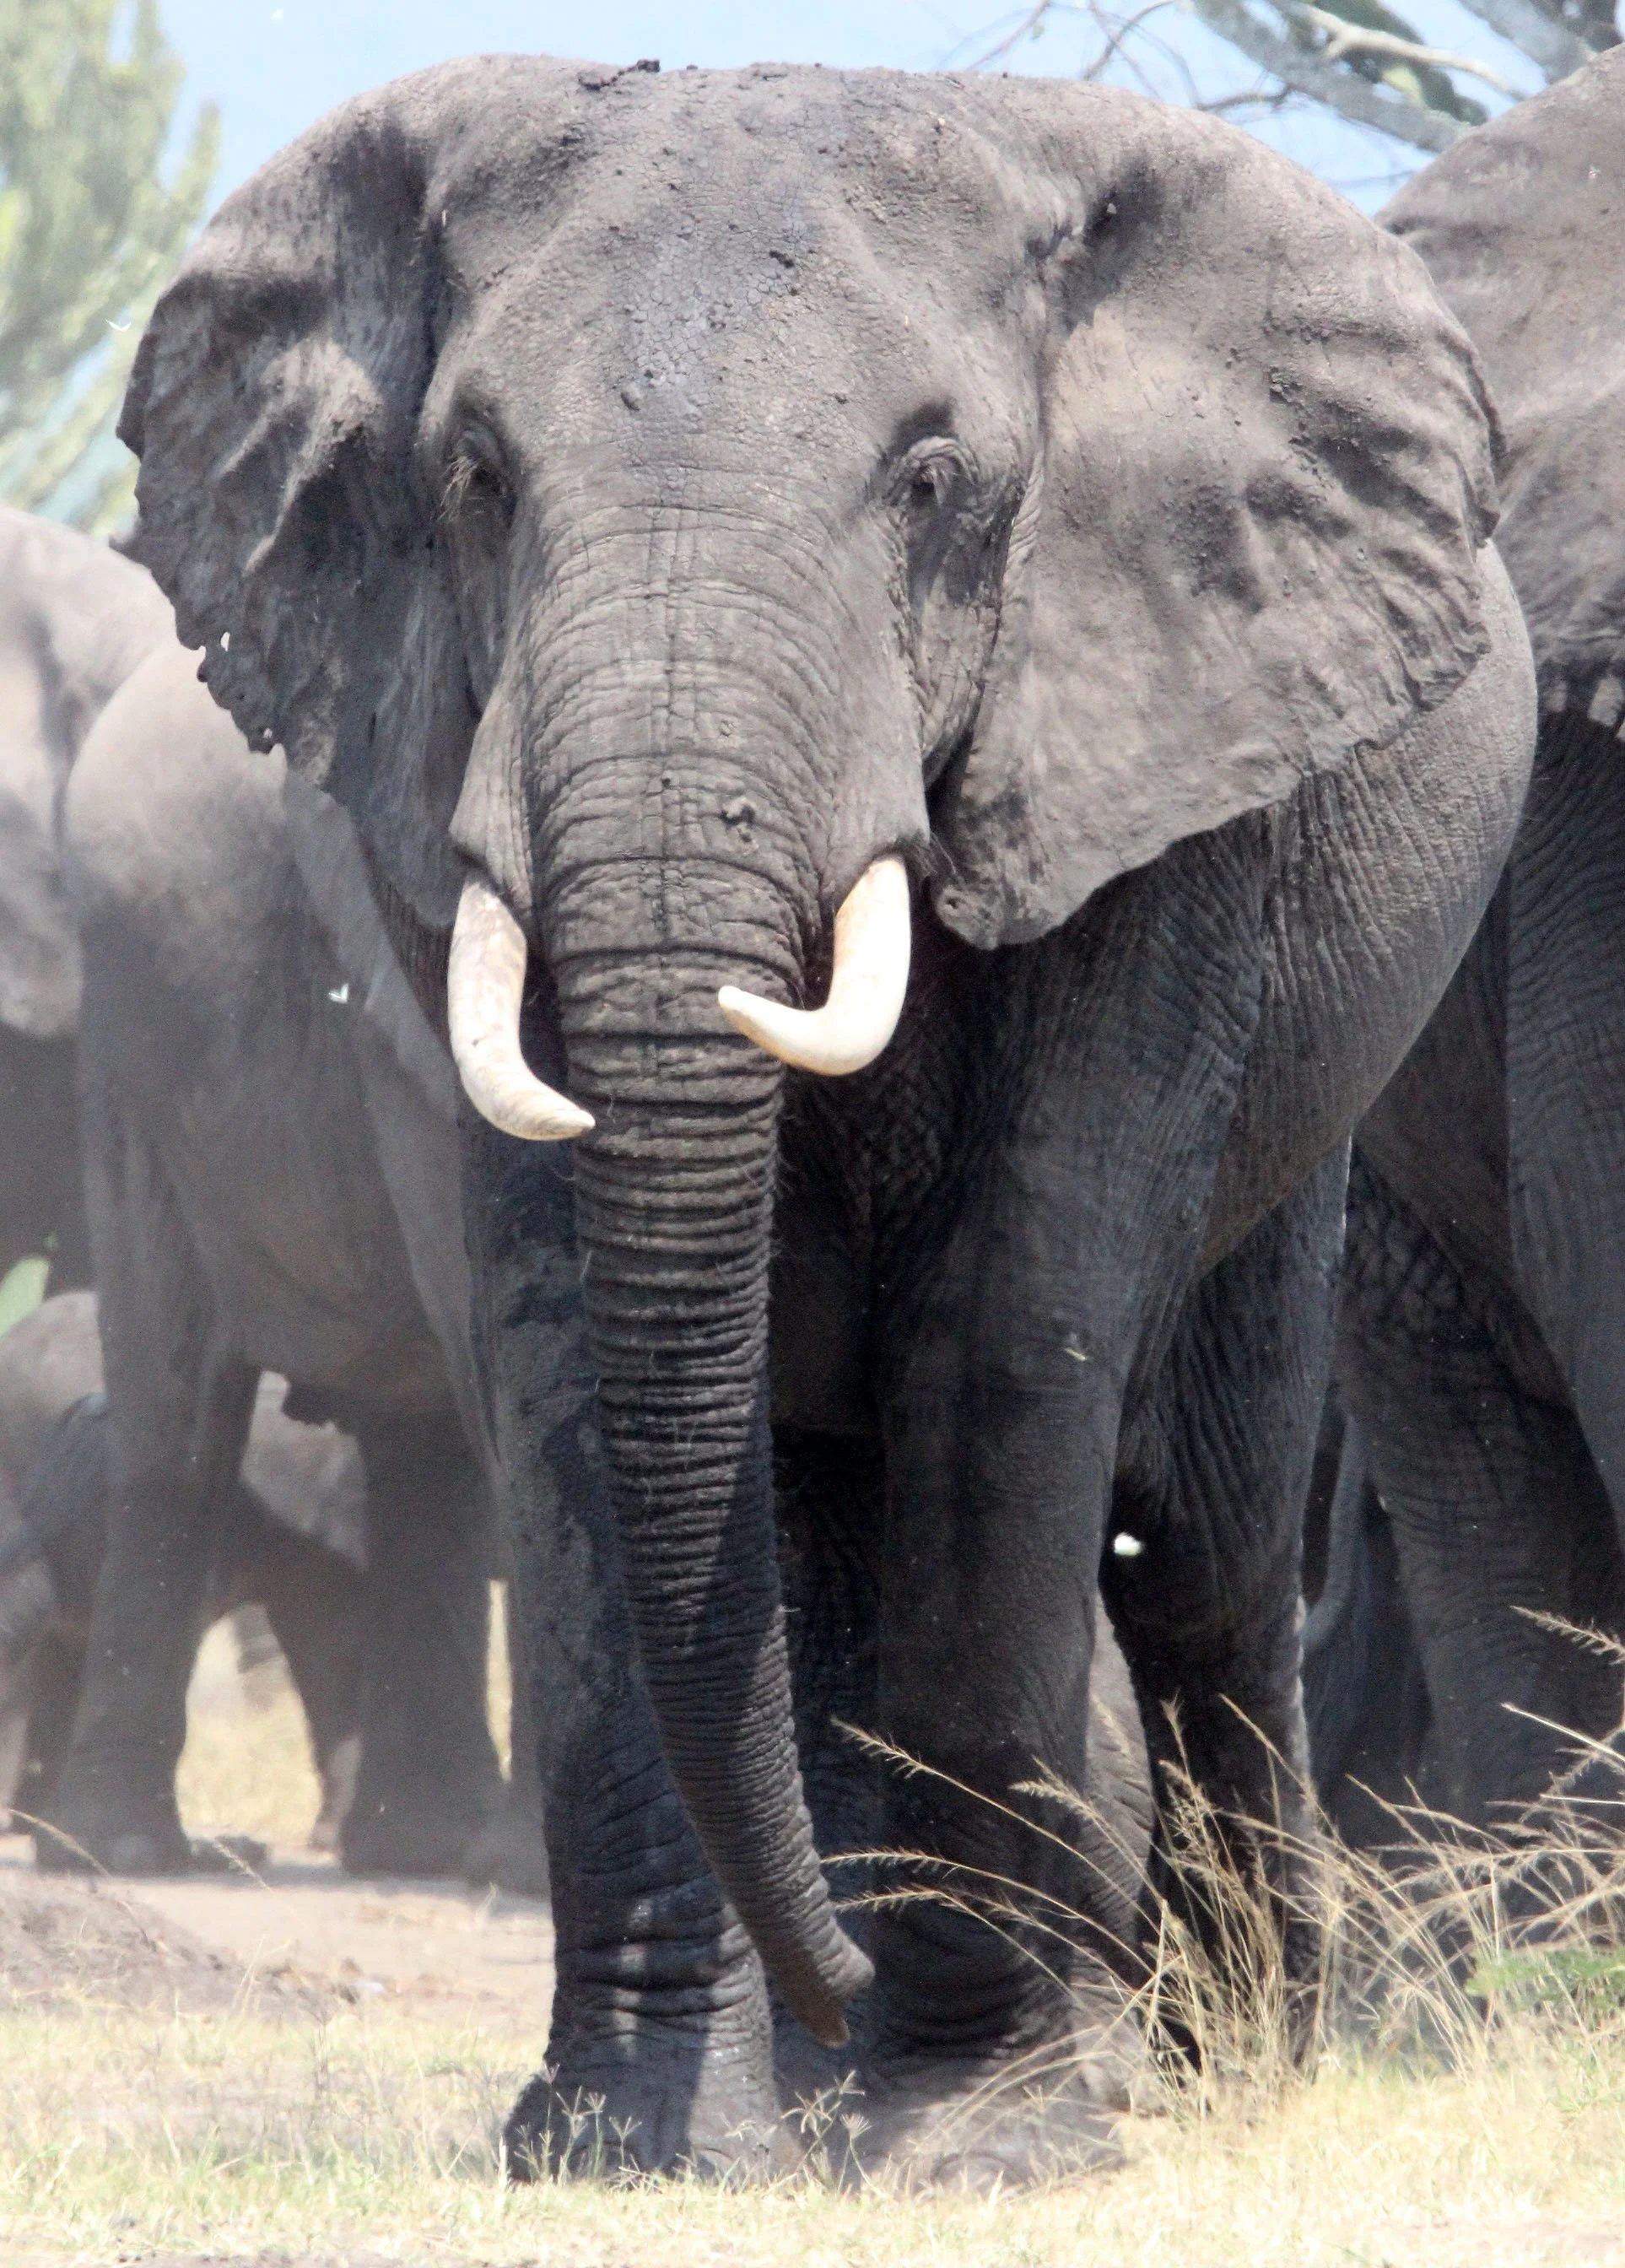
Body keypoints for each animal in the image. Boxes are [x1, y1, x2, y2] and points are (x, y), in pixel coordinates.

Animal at [117, 59, 1534, 2182]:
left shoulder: (1158, 762)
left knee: (1201, 1547)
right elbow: (563, 1359)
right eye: (475, 479)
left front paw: (980, 2139)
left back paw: (1221, 2065)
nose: (848, 1989)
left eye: (931, 484)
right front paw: (632, 2147)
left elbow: (1005, 1327)